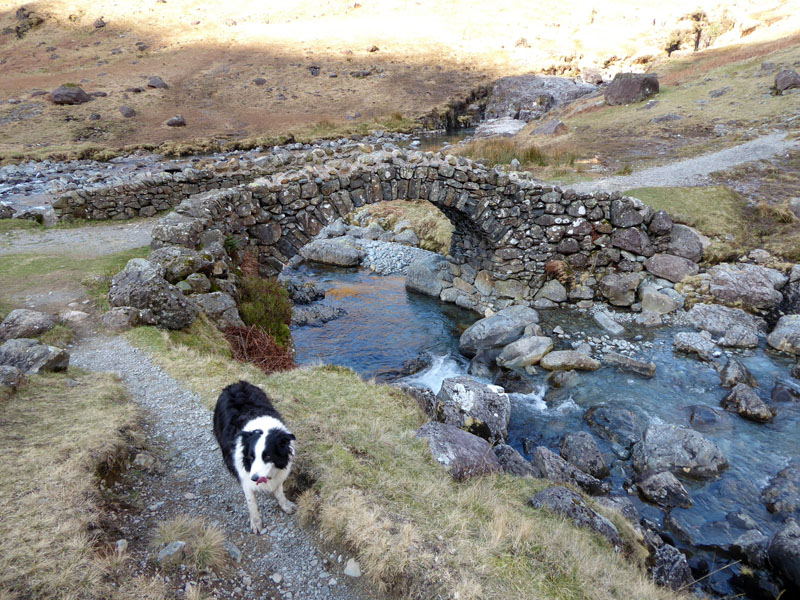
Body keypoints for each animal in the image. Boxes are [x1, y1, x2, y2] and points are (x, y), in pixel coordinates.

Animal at [212, 382, 296, 532]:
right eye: (250, 457)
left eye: (267, 456)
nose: (255, 478)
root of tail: (236, 384)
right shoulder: (245, 477)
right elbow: (252, 503)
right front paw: (256, 522)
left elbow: (279, 491)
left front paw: (286, 505)